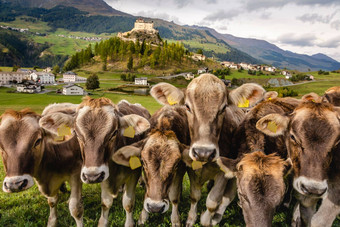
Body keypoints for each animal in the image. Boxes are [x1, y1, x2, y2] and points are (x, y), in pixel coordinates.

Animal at [41, 98, 150, 227]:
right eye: (76, 133)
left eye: (114, 132)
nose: (92, 176)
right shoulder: (105, 176)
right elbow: (106, 203)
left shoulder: (134, 174)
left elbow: (128, 203)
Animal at [149, 74, 266, 225]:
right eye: (187, 106)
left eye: (223, 108)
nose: (203, 152)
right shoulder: (190, 168)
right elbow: (194, 196)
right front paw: (190, 220)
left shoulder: (223, 172)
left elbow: (212, 202)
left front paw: (206, 219)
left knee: (227, 197)